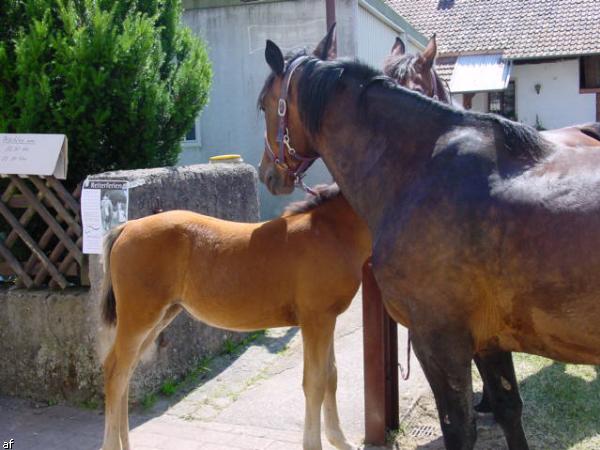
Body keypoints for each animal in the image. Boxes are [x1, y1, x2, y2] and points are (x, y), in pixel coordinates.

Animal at [99, 184, 370, 450]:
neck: (331, 231)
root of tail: (128, 226)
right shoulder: (316, 319)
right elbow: (315, 381)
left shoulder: (328, 318)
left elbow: (331, 375)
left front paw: (341, 440)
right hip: (139, 319)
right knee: (115, 372)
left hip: (160, 317)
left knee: (126, 372)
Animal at [260, 26, 600, 448]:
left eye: (263, 105)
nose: (268, 174)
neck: (421, 171)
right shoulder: (490, 338)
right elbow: (509, 408)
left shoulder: (437, 340)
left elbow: (459, 427)